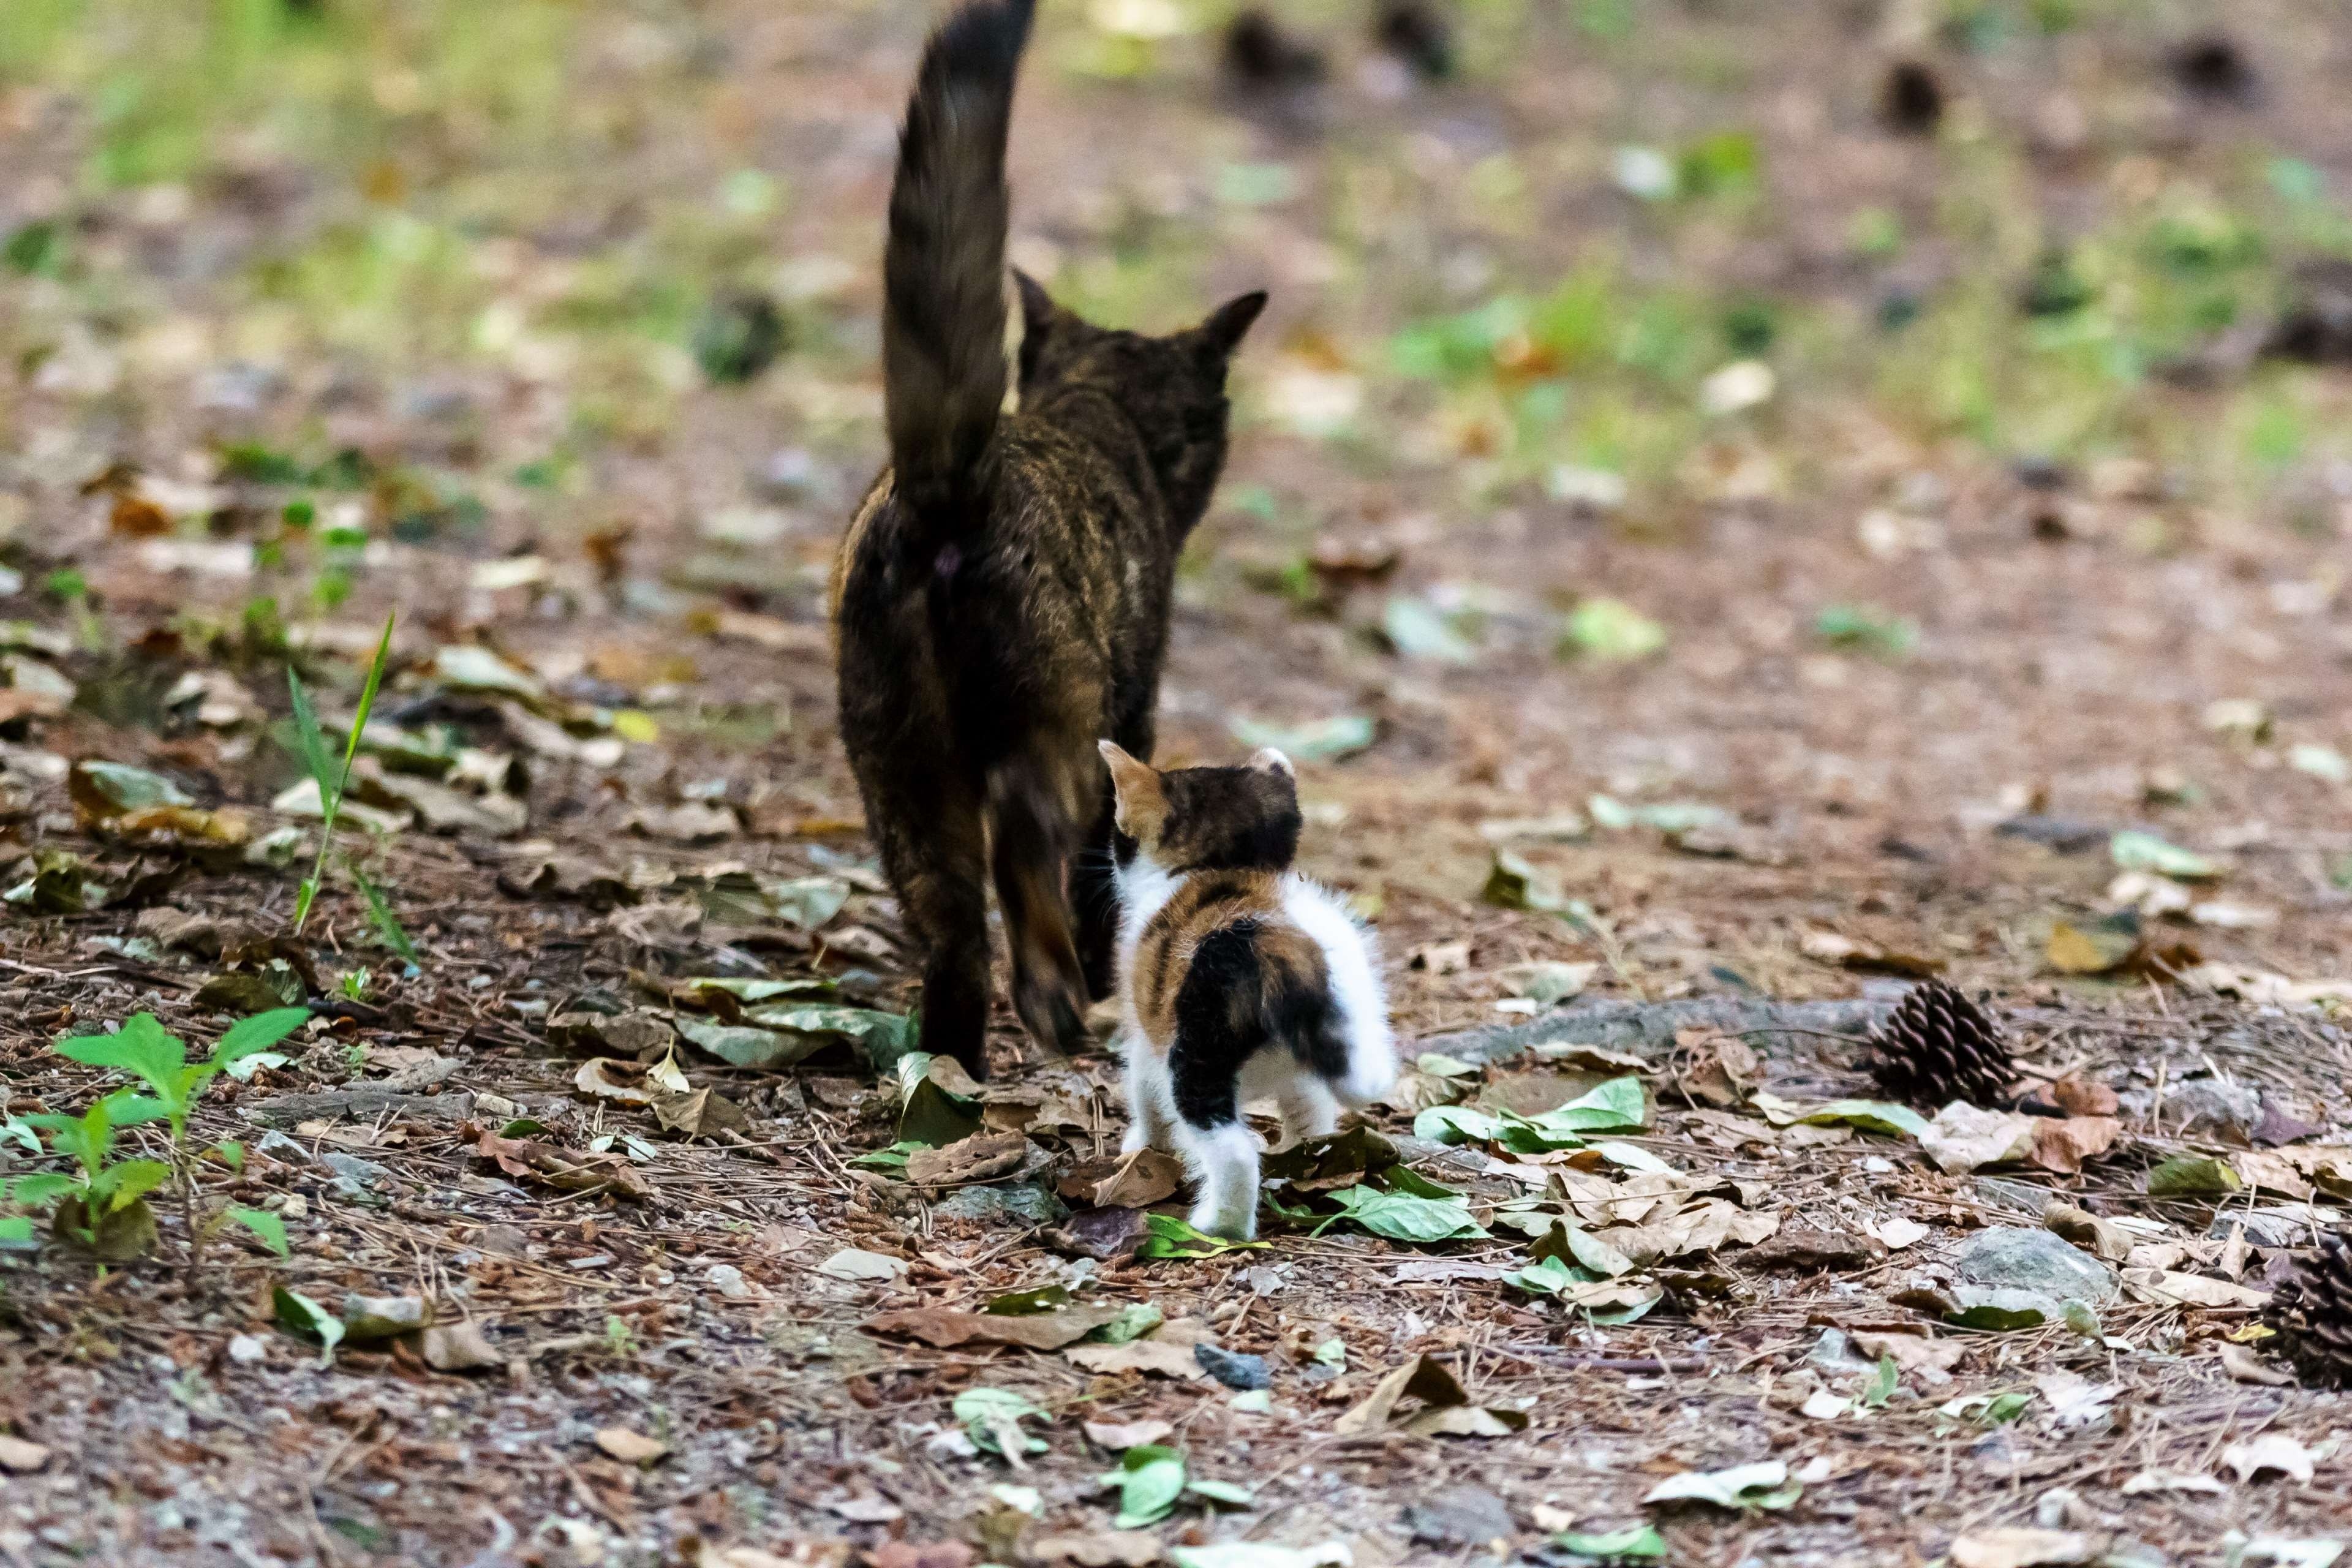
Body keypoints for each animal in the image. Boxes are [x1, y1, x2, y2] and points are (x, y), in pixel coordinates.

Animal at [832, 0, 1270, 1081]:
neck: (1093, 412)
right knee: (1027, 851)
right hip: (1057, 727)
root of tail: (952, 487)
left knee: (950, 926)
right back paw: (1057, 1001)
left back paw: (951, 1068)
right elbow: (1106, 871)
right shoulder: (1137, 701)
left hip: (894, 762)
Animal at [1101, 742, 1392, 1241]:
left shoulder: (1148, 1032)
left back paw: (1218, 1225)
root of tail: (1278, 939)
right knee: (1316, 1117)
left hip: (1196, 1051)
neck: (1223, 869)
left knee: (1232, 1150)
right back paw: (1303, 1169)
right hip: (1339, 1024)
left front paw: (1142, 1149)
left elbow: (1142, 1089)